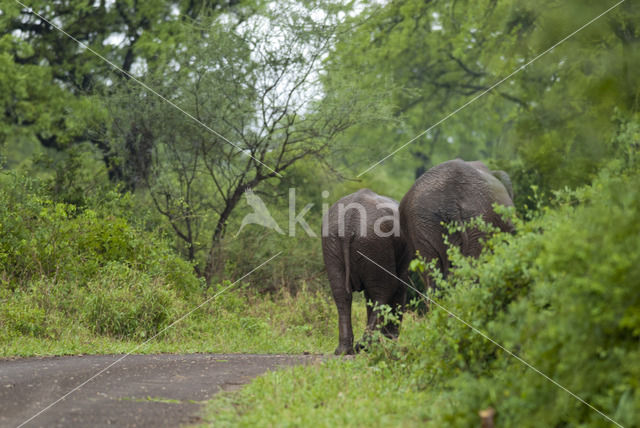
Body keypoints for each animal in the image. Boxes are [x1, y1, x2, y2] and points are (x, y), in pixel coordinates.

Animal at [322, 189, 408, 356]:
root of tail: (349, 222)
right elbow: (399, 287)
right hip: (375, 241)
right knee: (385, 290)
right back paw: (364, 346)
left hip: (333, 242)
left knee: (341, 294)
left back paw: (345, 350)